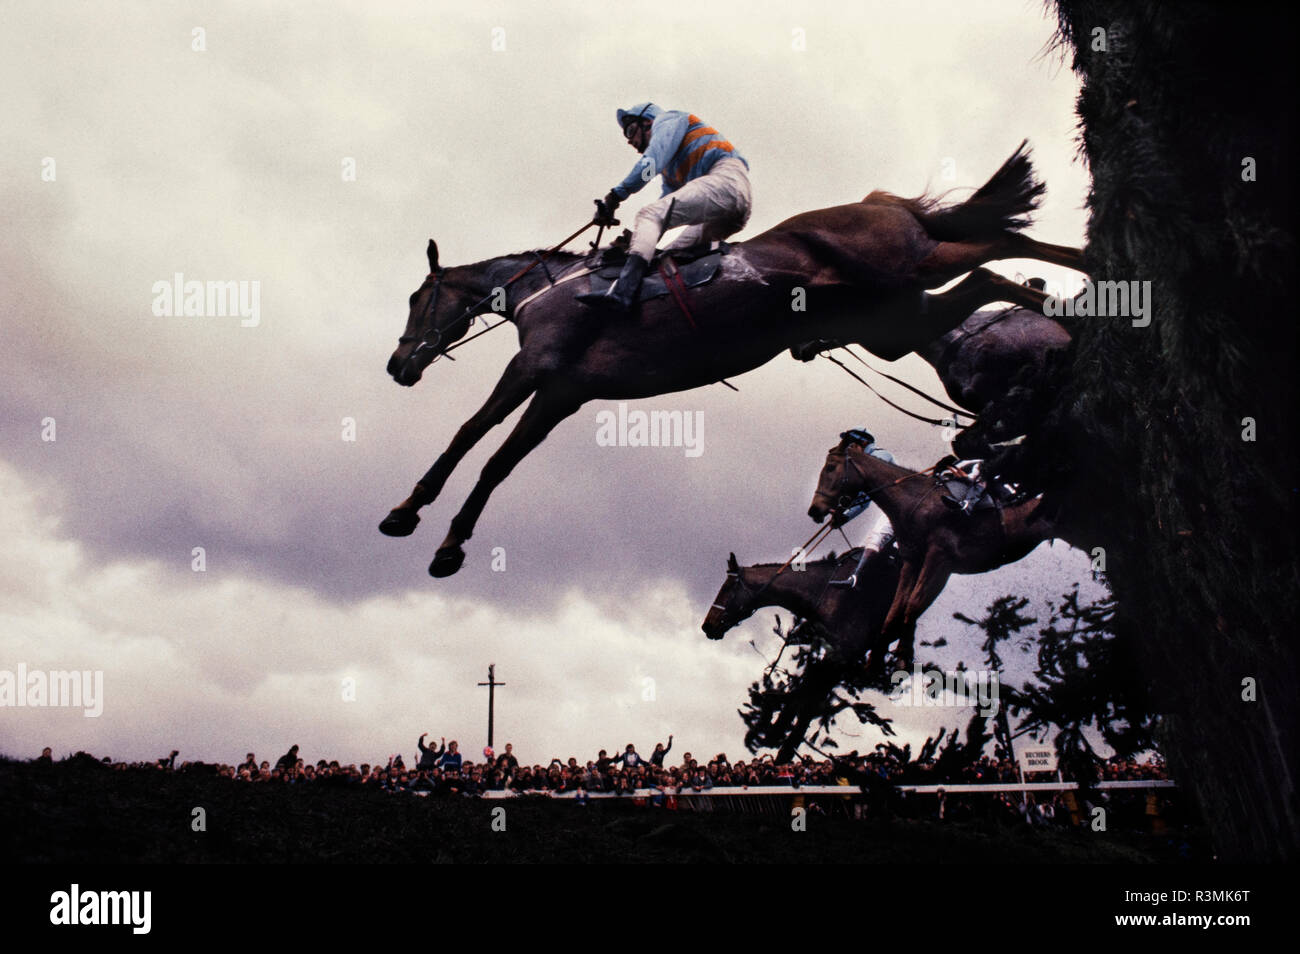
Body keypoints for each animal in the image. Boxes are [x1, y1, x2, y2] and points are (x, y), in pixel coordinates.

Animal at [379, 141, 1081, 574]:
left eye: (416, 298)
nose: (397, 366)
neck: (547, 291)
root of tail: (873, 202)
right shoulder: (561, 394)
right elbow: (498, 462)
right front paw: (446, 541)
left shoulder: (534, 370)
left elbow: (470, 436)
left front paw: (410, 512)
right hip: (895, 319)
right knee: (990, 273)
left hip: (905, 273)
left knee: (997, 246)